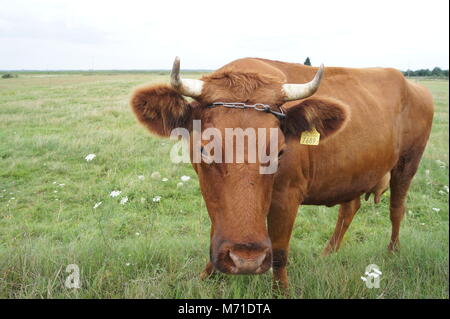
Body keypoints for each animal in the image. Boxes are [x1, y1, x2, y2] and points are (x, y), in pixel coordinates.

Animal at [129, 57, 432, 290]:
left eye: (280, 151)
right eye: (204, 149)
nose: (246, 260)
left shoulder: (287, 196)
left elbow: (279, 251)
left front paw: (281, 290)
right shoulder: (211, 193)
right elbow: (217, 227)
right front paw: (206, 276)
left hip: (408, 163)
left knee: (397, 208)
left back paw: (393, 251)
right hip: (355, 173)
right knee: (350, 208)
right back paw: (328, 252)